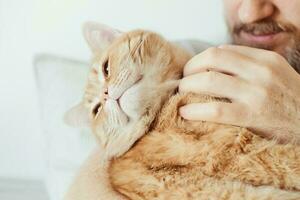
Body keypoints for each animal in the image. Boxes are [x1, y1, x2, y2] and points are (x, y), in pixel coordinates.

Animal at [65, 21, 300, 198]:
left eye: (106, 68)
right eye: (97, 110)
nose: (105, 94)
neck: (165, 105)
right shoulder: (238, 149)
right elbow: (289, 161)